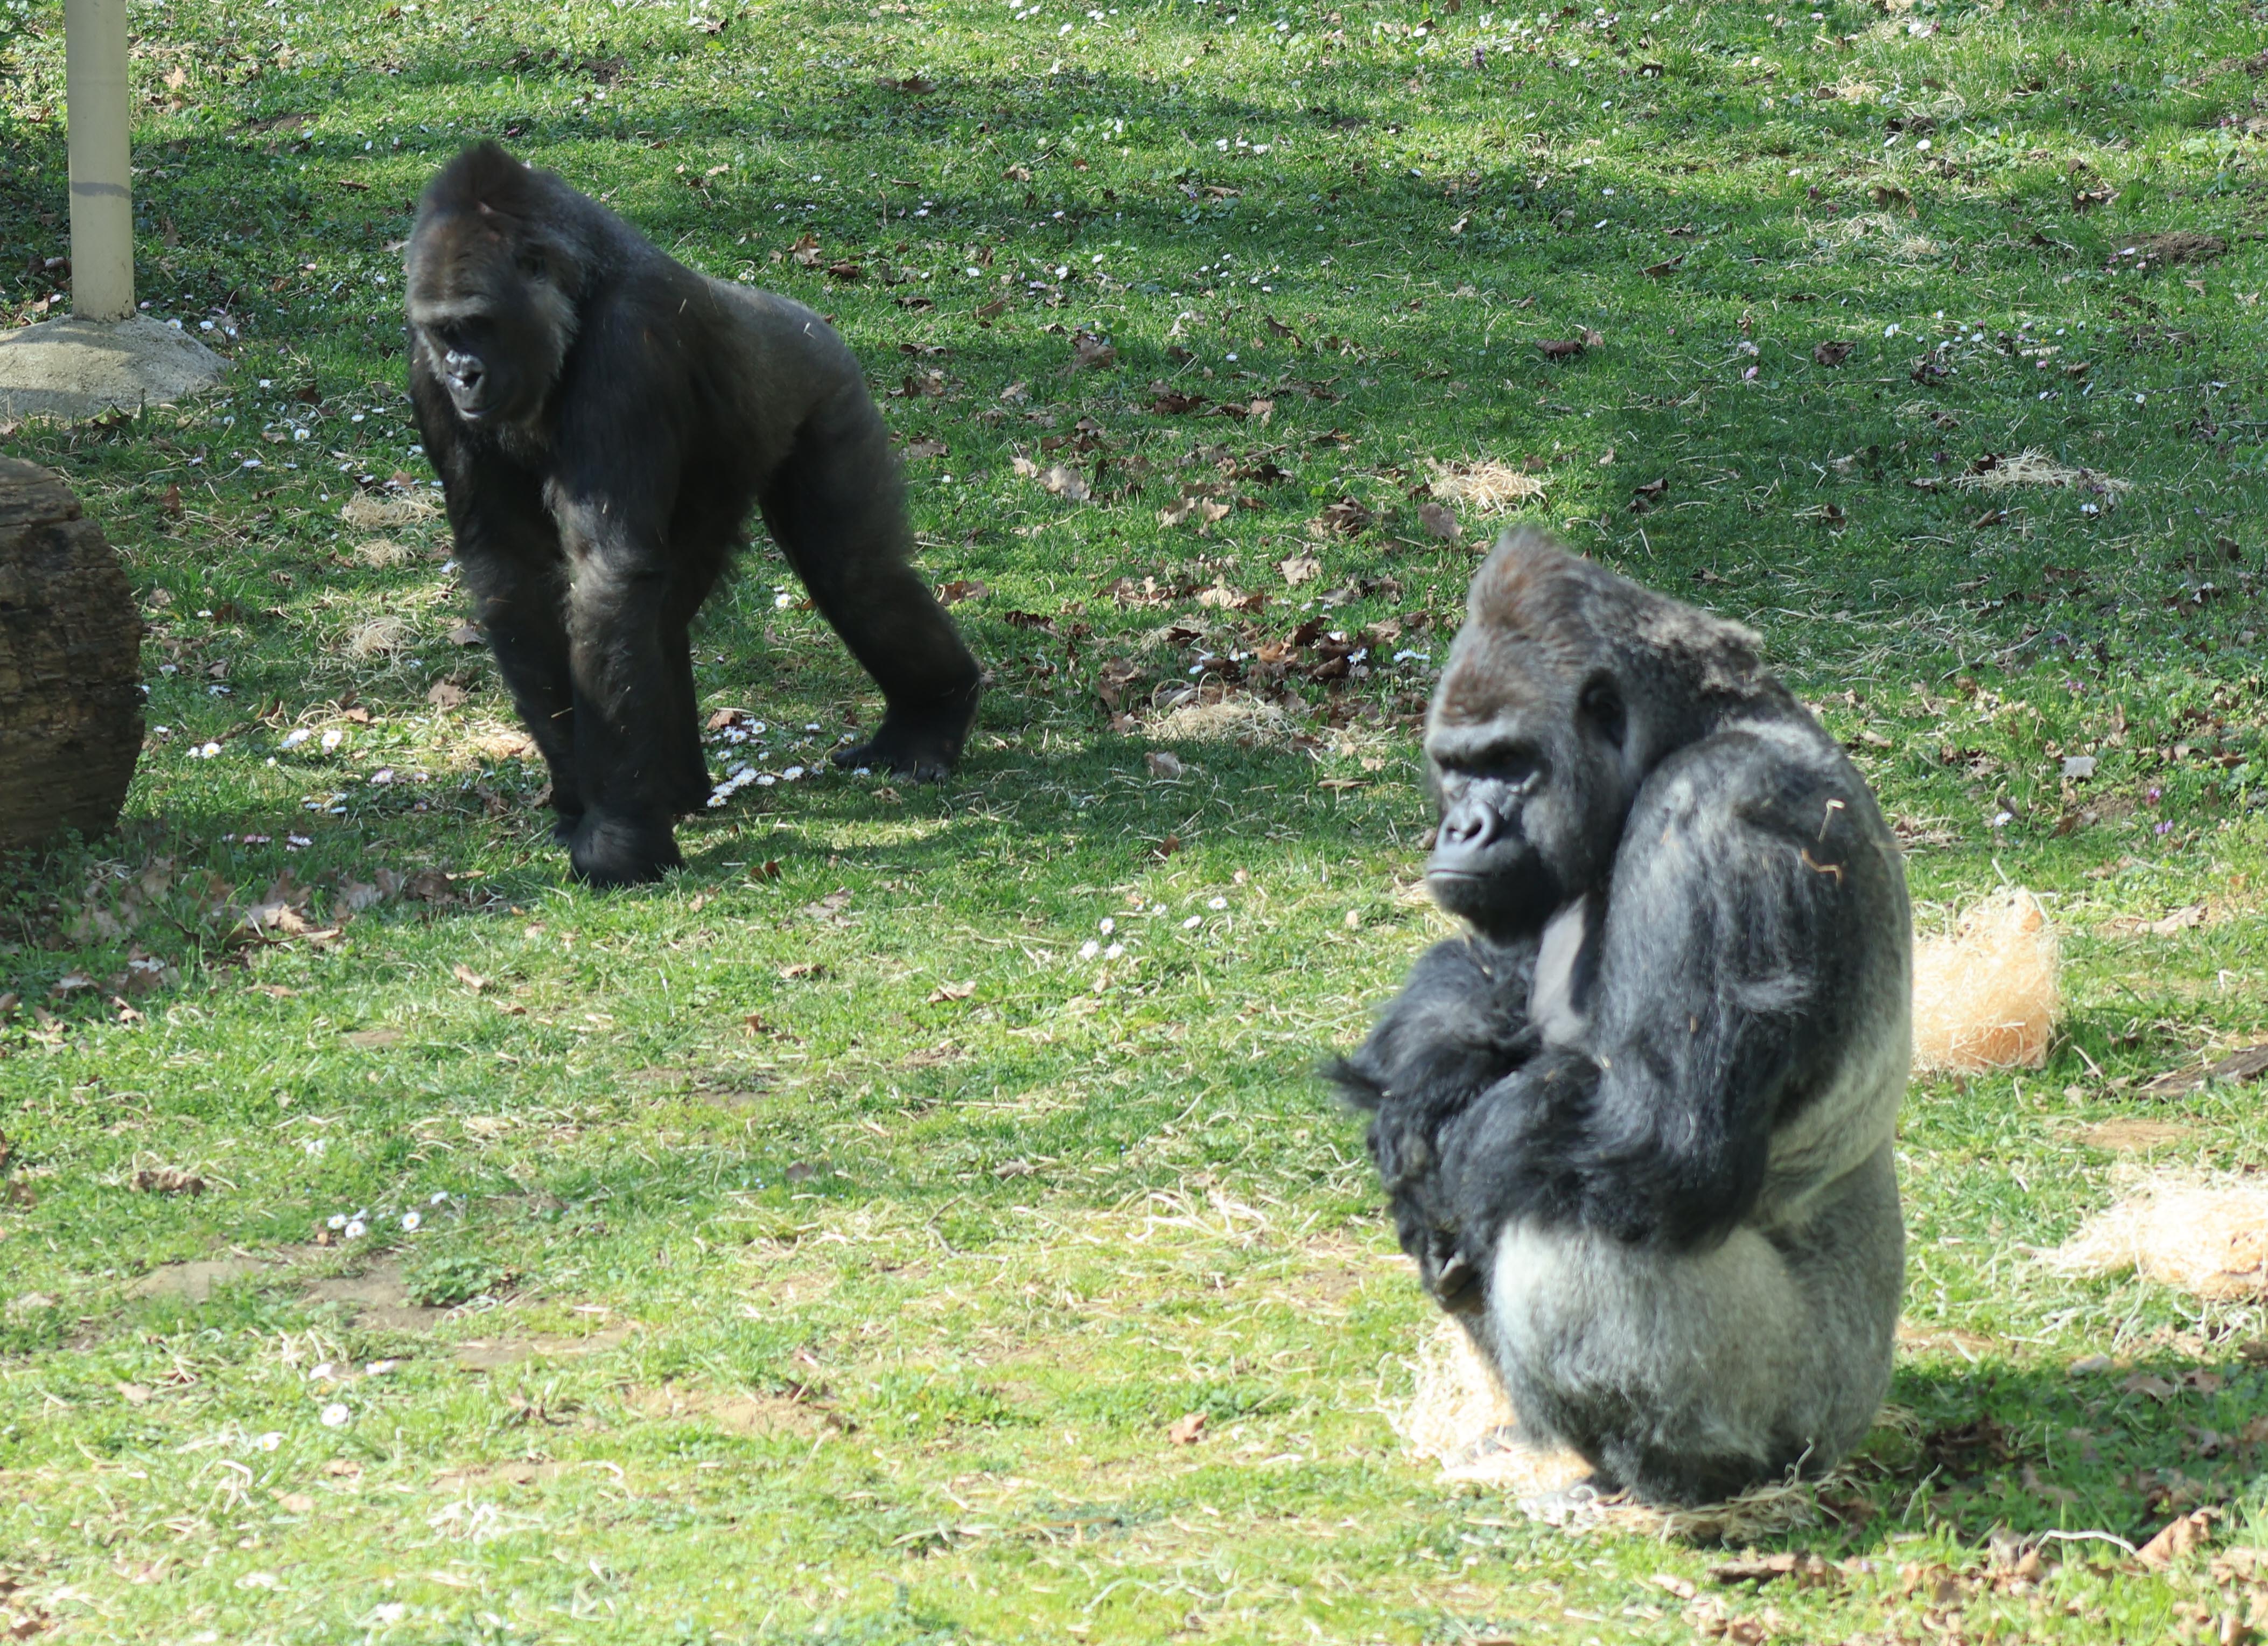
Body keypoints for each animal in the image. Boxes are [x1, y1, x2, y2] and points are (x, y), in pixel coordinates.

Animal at [404, 142, 982, 886]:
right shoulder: (426, 377)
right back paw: (679, 787)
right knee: (667, 612)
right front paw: (580, 797)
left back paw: (931, 717)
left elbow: (608, 572)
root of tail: (794, 306)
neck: (573, 294)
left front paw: (617, 838)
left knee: (856, 575)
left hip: (823, 376)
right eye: (444, 331)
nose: (464, 373)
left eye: (478, 325)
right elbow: (513, 575)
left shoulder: (627, 344)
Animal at [1331, 530, 1910, 1507]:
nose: (1461, 830)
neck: (1699, 724)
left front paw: (1443, 1147)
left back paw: (1672, 1479)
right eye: (1455, 766)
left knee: (1571, 1212)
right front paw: (1430, 1075)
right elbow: (1494, 974)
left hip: (1807, 1417)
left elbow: (1662, 1136)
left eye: (1510, 762)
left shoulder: (1718, 816)